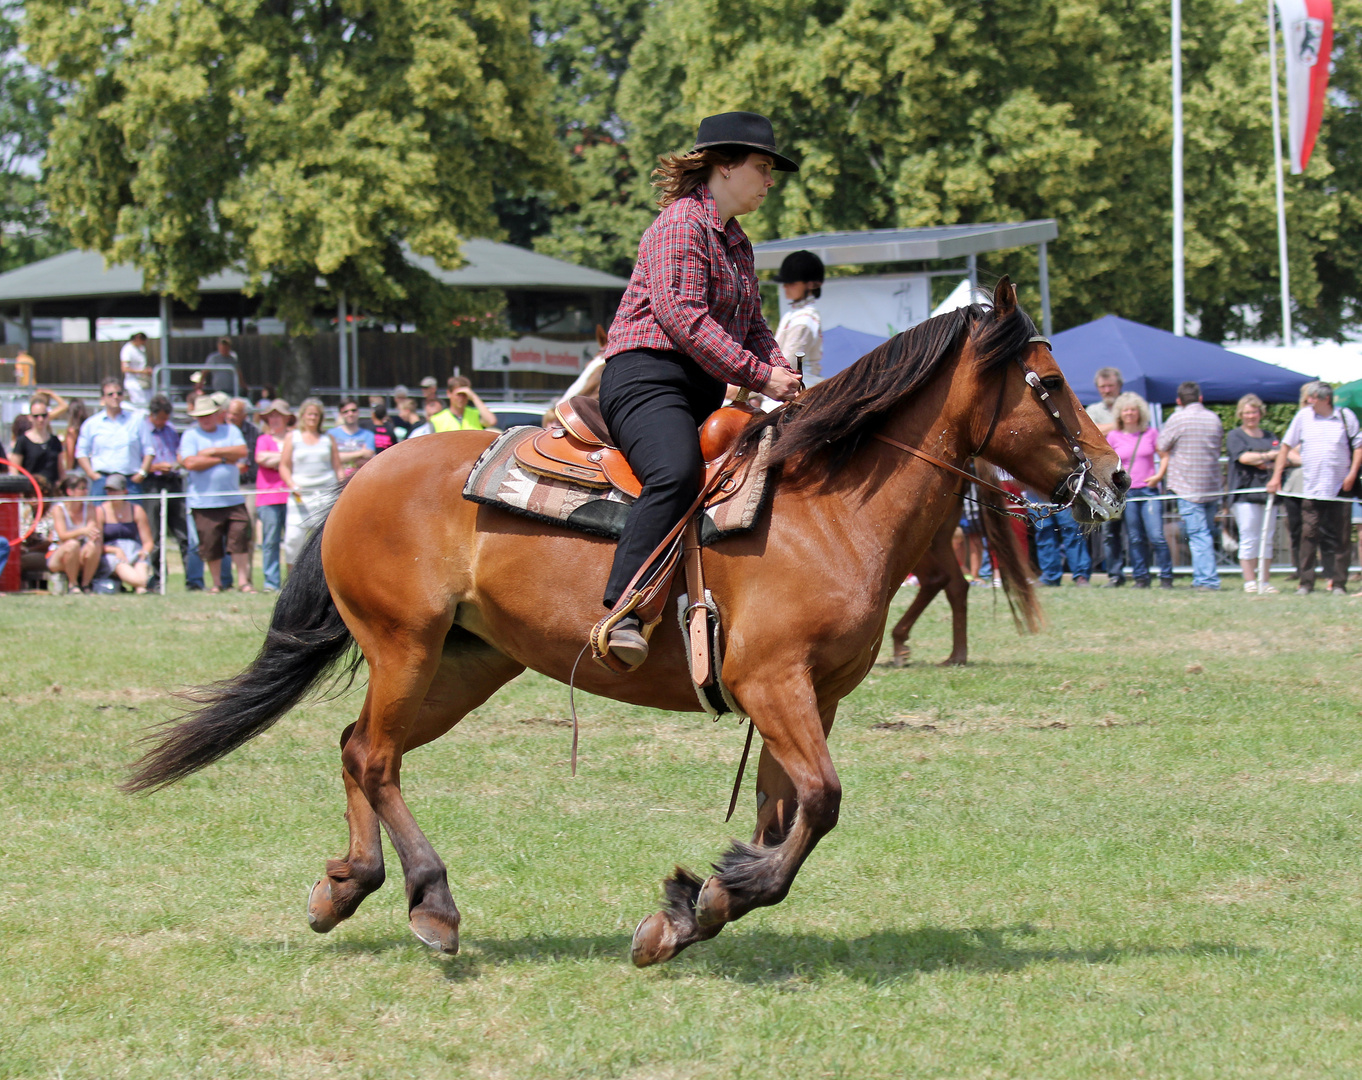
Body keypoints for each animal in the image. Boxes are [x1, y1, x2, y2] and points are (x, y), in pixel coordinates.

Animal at [128, 281, 1127, 964]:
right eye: (1047, 382)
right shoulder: (774, 684)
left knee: (356, 749)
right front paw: (714, 894)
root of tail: (361, 476)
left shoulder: (809, 698)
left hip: (465, 663)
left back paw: (347, 887)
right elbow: (820, 804)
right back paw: (430, 902)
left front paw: (691, 909)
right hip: (405, 649)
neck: (829, 508)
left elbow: (784, 811)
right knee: (372, 755)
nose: (1115, 477)